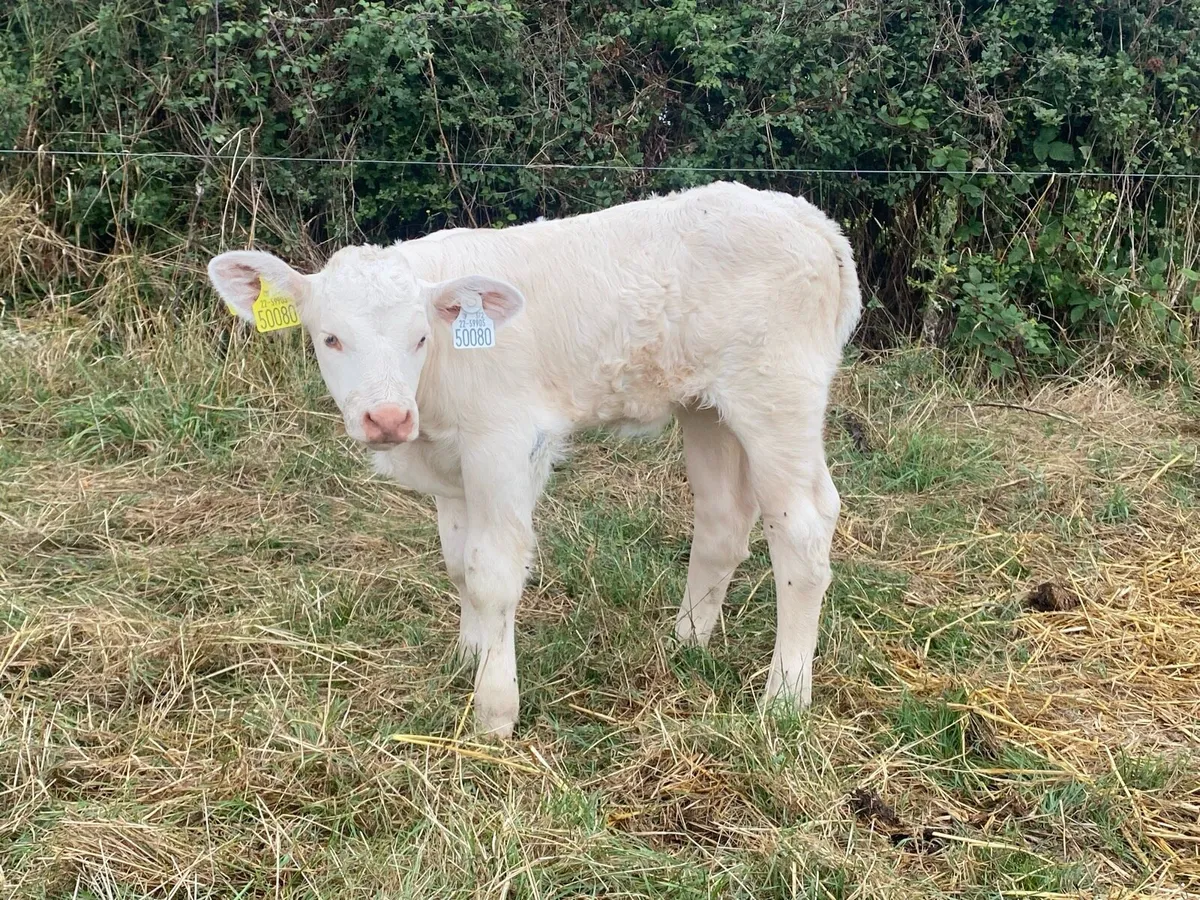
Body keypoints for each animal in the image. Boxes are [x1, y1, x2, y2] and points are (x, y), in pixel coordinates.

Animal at [208, 181, 861, 738]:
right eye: (330, 338)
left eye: (420, 337)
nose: (387, 418)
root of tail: (807, 218)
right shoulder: (452, 464)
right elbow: (459, 565)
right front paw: (467, 655)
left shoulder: (502, 441)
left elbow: (493, 572)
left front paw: (495, 708)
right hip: (706, 406)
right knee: (724, 518)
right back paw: (687, 642)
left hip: (779, 394)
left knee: (803, 531)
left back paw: (784, 698)